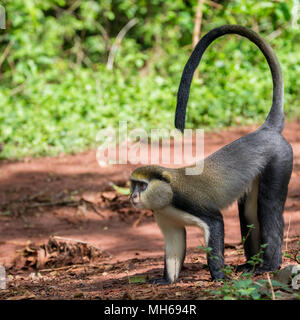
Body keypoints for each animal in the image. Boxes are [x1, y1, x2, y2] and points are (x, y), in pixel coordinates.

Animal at [129, 25, 292, 284]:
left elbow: (216, 224)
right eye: (132, 185)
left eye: (142, 186)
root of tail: (266, 130)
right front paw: (167, 280)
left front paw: (218, 277)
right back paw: (250, 264)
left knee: (268, 207)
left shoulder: (191, 202)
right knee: (248, 212)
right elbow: (174, 241)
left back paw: (269, 265)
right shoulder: (166, 217)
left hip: (279, 163)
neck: (168, 195)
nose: (132, 197)